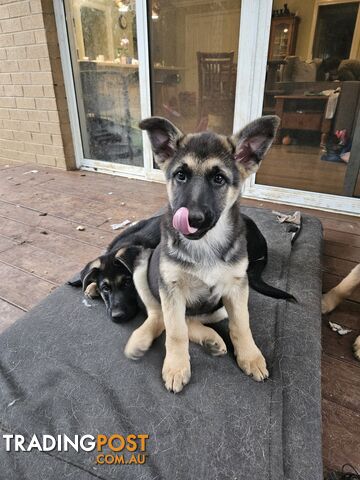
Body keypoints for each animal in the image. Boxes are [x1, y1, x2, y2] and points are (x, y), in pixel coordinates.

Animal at [125, 114, 286, 392]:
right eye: (180, 175)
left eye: (218, 179)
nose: (193, 218)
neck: (205, 245)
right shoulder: (171, 287)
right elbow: (175, 331)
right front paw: (176, 366)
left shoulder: (237, 287)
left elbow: (241, 324)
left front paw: (250, 357)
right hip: (143, 265)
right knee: (160, 315)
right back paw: (141, 340)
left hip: (220, 305)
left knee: (190, 320)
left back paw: (211, 339)